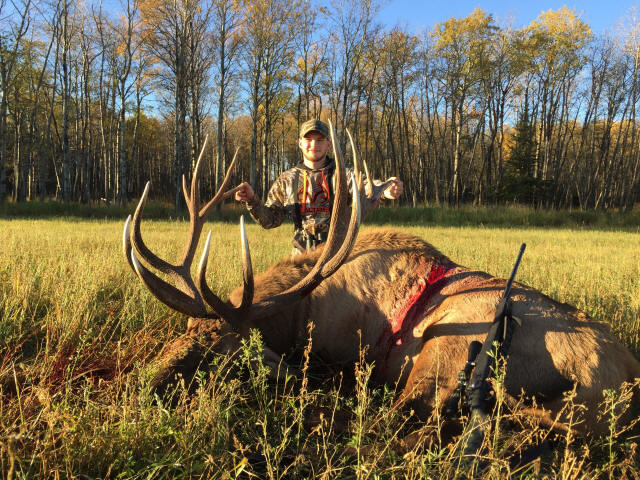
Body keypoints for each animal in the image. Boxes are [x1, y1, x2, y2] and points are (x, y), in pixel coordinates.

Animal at [123, 123, 640, 451]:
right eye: (185, 333)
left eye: (220, 354)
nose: (141, 386)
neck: (304, 311)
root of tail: (625, 391)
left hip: (448, 347)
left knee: (408, 423)